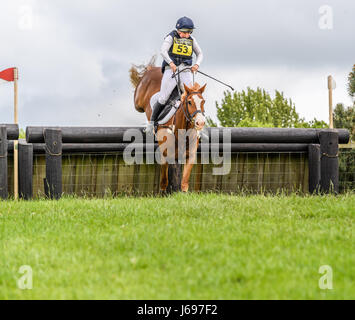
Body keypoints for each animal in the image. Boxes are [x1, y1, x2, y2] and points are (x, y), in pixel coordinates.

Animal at [130, 59, 207, 192]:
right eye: (189, 102)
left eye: (203, 102)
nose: (200, 122)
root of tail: (152, 69)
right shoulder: (166, 154)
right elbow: (164, 180)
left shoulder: (190, 156)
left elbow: (184, 182)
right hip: (139, 100)